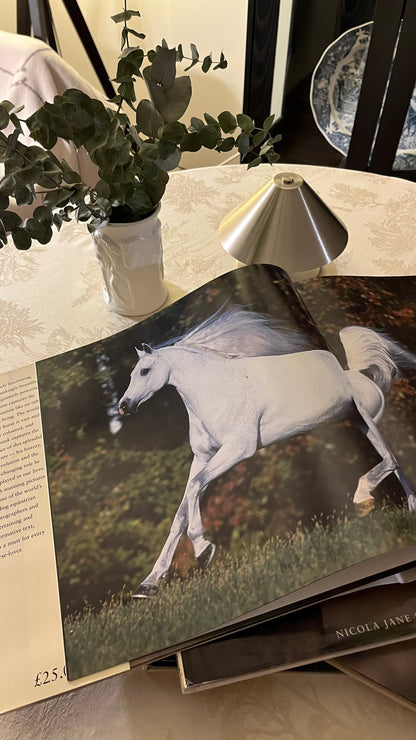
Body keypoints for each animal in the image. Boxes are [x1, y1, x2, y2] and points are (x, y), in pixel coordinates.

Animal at [118, 305, 416, 597]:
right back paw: (409, 509)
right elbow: (181, 511)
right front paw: (148, 585)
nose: (124, 406)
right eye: (132, 374)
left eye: (144, 371)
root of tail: (357, 375)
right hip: (361, 424)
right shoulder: (203, 457)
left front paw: (203, 549)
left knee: (391, 459)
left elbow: (195, 487)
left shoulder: (238, 449)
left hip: (367, 421)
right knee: (395, 463)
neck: (218, 391)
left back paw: (363, 499)